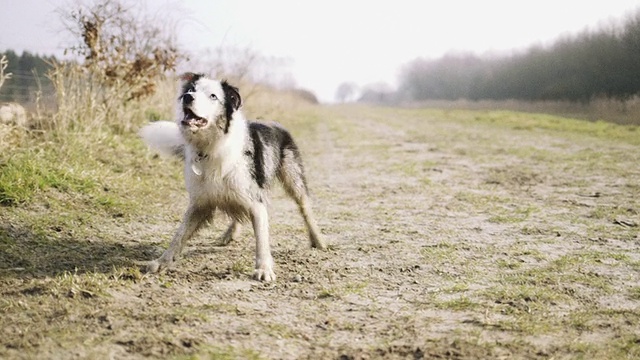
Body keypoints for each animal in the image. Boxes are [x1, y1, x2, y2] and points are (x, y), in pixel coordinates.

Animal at [141, 73, 328, 282]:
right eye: (191, 89)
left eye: (213, 96)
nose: (187, 97)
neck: (210, 147)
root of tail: (275, 122)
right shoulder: (200, 202)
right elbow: (179, 234)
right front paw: (162, 261)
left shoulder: (256, 200)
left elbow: (261, 238)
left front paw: (264, 269)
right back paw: (229, 234)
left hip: (292, 176)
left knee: (305, 208)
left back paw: (318, 240)